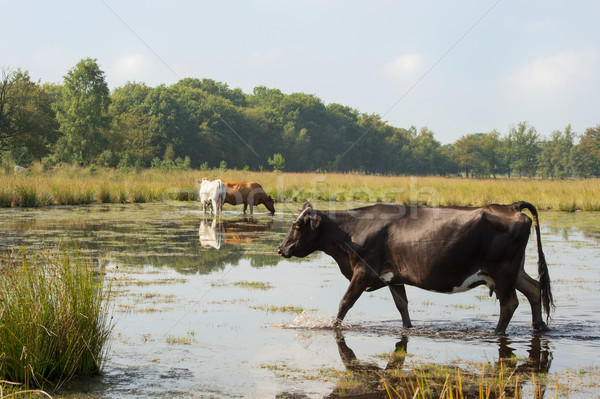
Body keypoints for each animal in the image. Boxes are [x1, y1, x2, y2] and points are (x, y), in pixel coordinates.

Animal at [278, 202, 556, 336]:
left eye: (297, 225)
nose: (281, 248)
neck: (351, 233)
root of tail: (510, 206)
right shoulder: (394, 277)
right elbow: (402, 306)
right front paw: (409, 328)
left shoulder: (363, 272)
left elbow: (345, 303)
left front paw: (331, 326)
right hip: (514, 271)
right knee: (534, 289)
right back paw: (539, 327)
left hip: (503, 271)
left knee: (509, 304)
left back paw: (497, 332)